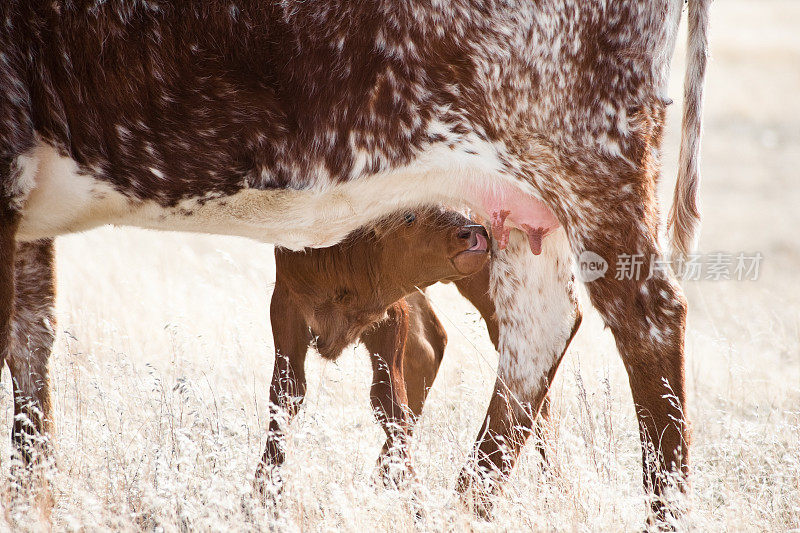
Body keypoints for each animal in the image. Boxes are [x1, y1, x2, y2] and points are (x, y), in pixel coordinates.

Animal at [3, 0, 708, 524]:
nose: (467, 232)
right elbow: (32, 347)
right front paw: (34, 502)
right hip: (528, 212)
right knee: (536, 335)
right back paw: (462, 506)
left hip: (589, 160)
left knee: (647, 319)